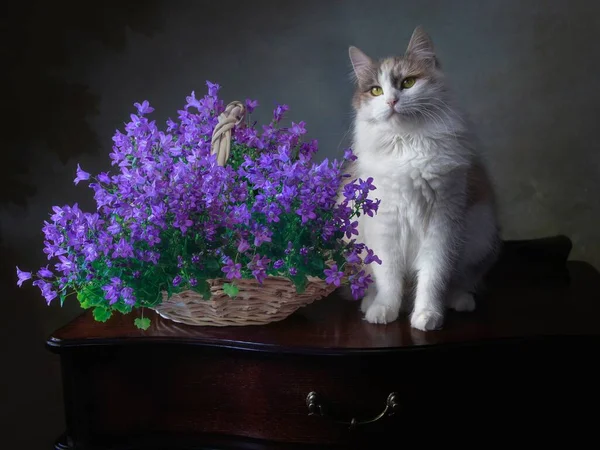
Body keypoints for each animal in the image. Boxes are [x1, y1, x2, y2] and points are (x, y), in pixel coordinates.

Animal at [342, 27, 502, 330]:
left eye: (408, 82)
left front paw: (427, 316)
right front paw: (385, 310)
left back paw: (459, 301)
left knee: (461, 282)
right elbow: (388, 279)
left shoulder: (442, 225)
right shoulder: (386, 225)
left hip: (480, 236)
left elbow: (433, 278)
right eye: (376, 90)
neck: (407, 145)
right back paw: (371, 303)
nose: (391, 101)